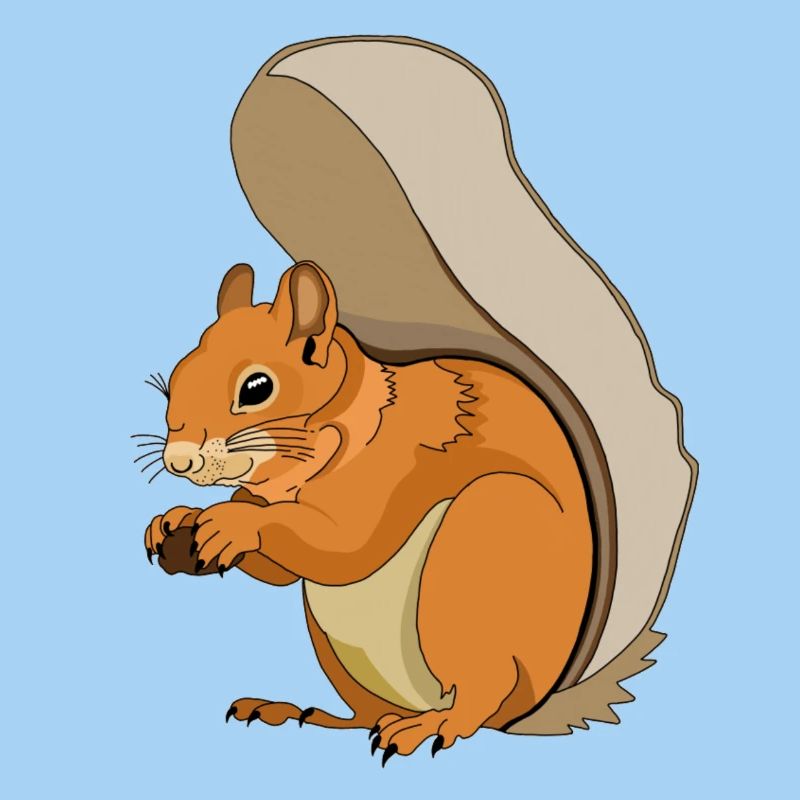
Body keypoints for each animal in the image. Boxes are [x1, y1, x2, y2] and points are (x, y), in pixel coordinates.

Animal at [141, 35, 697, 763]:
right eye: (175, 377)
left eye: (256, 388)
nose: (178, 461)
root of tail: (542, 702)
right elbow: (283, 568)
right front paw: (176, 522)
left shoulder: (397, 461)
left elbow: (344, 544)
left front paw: (232, 523)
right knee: (365, 713)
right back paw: (301, 713)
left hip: (477, 551)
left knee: (480, 696)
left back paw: (433, 726)